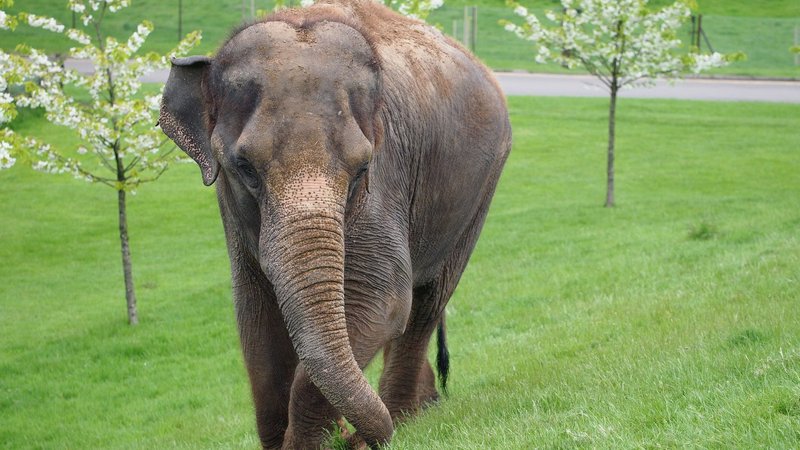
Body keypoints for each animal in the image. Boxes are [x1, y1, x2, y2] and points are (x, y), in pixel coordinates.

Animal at [159, 0, 511, 448]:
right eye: (244, 167)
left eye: (362, 168)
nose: (348, 435)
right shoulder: (230, 207)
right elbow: (256, 319)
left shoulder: (386, 176)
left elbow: (382, 299)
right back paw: (420, 407)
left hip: (482, 187)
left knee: (427, 302)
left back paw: (403, 417)